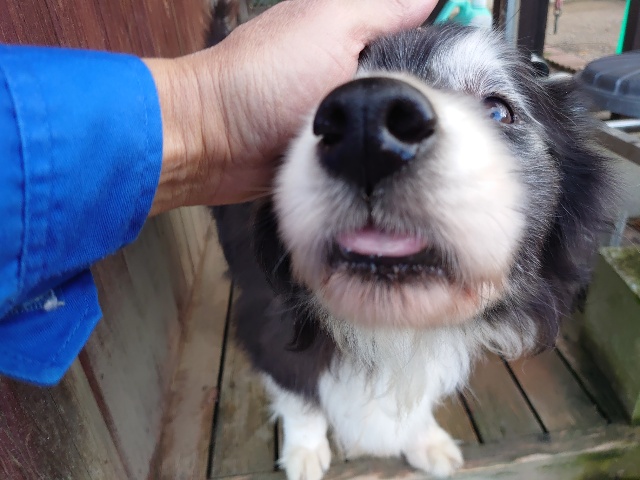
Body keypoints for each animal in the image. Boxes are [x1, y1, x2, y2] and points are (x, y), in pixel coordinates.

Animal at [213, 24, 614, 479]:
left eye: (498, 112)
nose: (366, 120)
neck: (392, 330)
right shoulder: (267, 324)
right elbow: (298, 396)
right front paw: (304, 449)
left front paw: (425, 439)